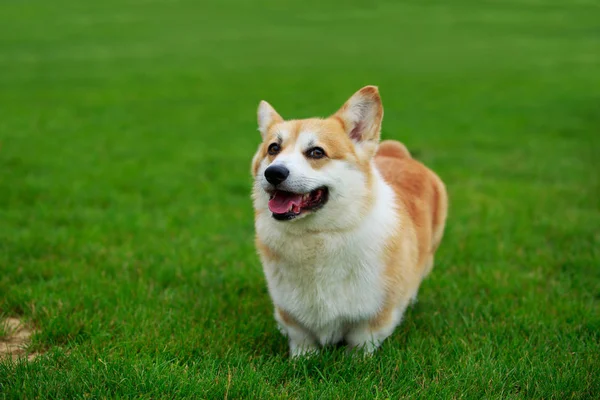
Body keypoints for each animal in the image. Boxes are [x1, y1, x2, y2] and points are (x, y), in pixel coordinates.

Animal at [251, 85, 448, 356]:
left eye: (316, 152)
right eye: (273, 149)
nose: (273, 173)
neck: (316, 236)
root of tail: (399, 153)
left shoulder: (374, 316)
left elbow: (361, 343)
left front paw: (356, 361)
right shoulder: (291, 314)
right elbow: (302, 342)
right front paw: (302, 359)